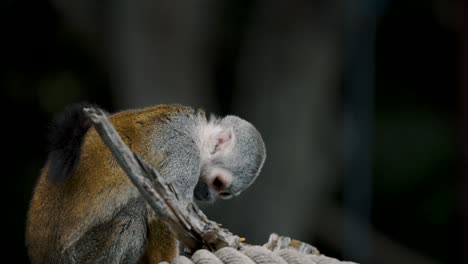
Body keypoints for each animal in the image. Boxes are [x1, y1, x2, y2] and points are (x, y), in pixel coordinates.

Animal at [26, 103, 266, 264]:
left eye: (223, 192)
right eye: (217, 183)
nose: (208, 196)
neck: (196, 131)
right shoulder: (184, 151)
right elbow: (162, 212)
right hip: (80, 256)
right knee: (134, 210)